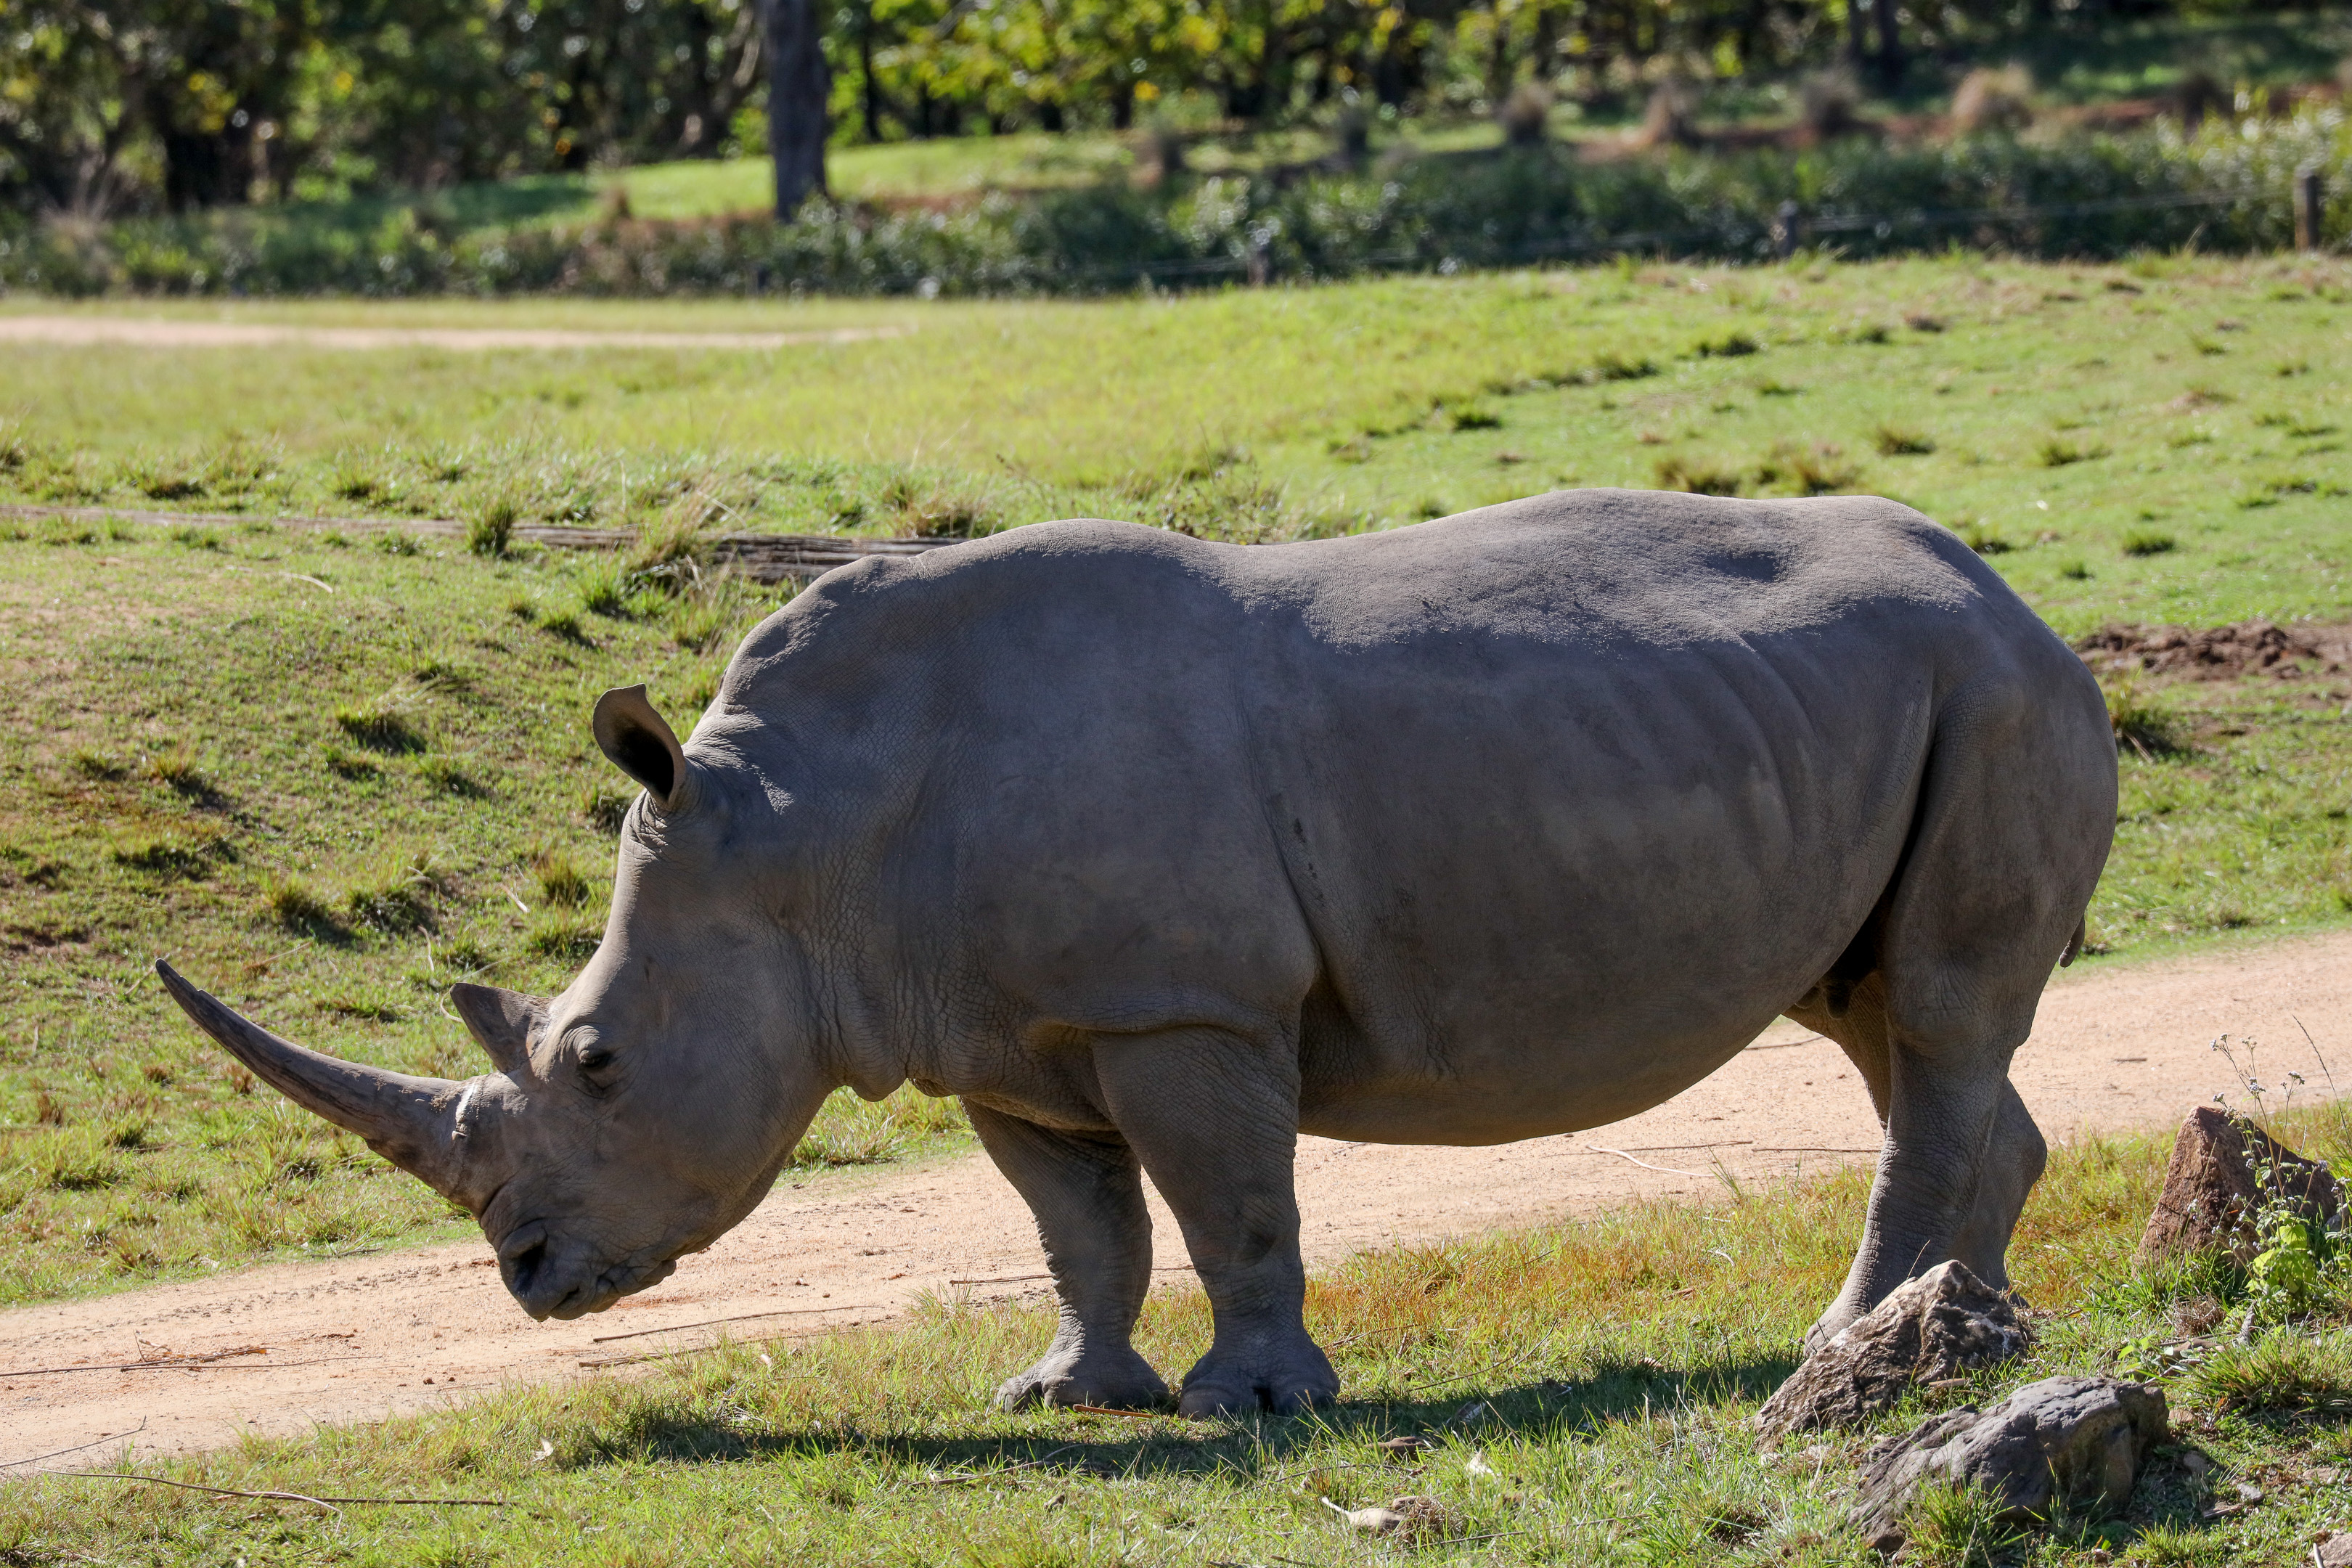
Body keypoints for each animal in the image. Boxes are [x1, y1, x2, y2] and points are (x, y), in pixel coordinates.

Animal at [158, 489, 2116, 1416]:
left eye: (596, 1060)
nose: (528, 1277)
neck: (790, 833)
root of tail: (2017, 591)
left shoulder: (1183, 1006)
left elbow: (1230, 1201)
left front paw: (1255, 1405)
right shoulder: (1001, 1031)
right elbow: (1076, 1224)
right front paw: (1068, 1397)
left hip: (1994, 694)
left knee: (1937, 1022)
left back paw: (1852, 1339)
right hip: (1894, 706)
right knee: (1890, 1022)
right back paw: (1961, 1335)